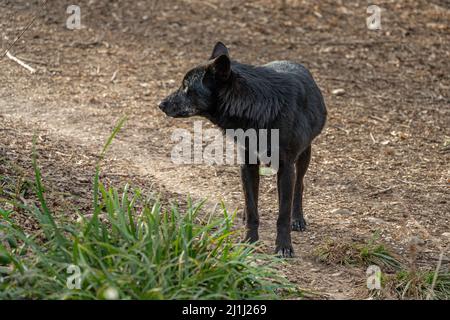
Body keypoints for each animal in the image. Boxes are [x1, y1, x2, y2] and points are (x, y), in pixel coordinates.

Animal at [159, 42, 326, 258]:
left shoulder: (286, 167)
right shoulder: (247, 164)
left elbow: (283, 214)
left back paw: (297, 218)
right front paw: (249, 242)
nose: (160, 104)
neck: (259, 107)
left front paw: (283, 246)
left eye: (186, 87)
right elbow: (252, 207)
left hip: (304, 155)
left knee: (299, 186)